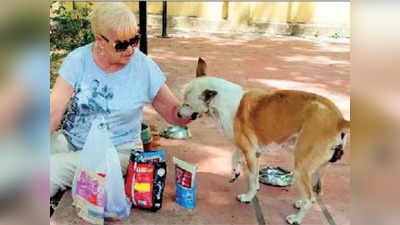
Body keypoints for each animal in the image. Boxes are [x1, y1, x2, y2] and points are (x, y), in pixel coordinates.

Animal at [178, 57, 350, 223]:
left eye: (187, 104)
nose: (178, 114)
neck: (220, 101)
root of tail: (339, 120)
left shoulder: (249, 152)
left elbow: (251, 177)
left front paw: (248, 196)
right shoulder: (249, 149)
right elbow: (236, 158)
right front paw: (235, 173)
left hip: (301, 167)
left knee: (309, 198)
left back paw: (296, 218)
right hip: (317, 169)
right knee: (314, 193)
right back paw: (300, 203)